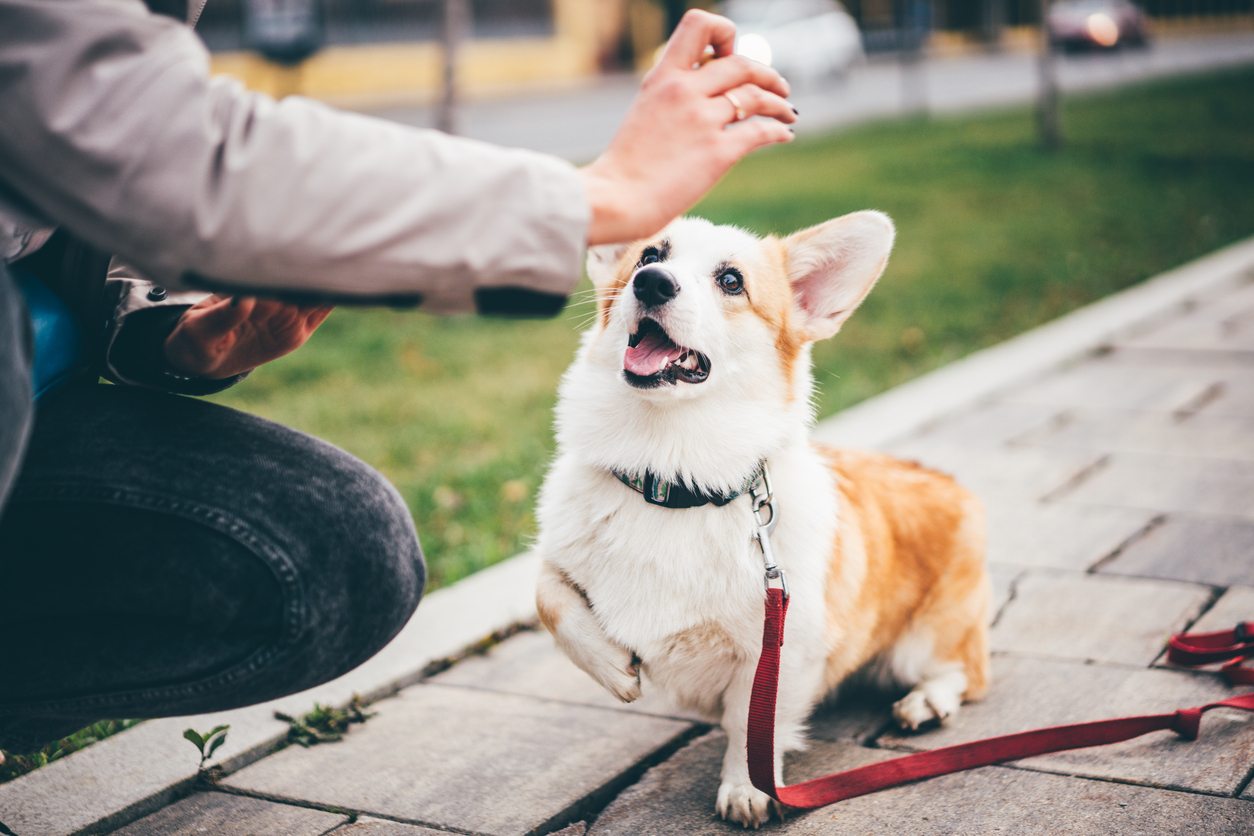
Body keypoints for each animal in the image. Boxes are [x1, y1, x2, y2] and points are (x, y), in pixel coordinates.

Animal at [534, 213, 993, 827]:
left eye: (731, 281)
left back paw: (925, 703)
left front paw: (746, 788)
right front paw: (611, 667)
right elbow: (550, 596)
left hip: (922, 643)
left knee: (967, 671)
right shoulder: (557, 556)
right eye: (649, 255)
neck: (671, 476)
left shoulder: (779, 650)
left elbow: (750, 724)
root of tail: (945, 478)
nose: (651, 282)